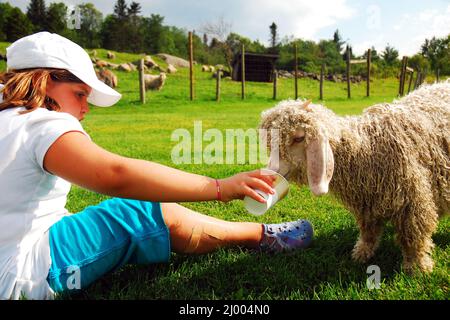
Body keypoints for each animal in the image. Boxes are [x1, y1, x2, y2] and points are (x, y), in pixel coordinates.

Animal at [258, 81, 448, 274]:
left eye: (299, 138)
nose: (270, 172)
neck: (367, 148)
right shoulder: (367, 204)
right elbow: (369, 231)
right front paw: (362, 254)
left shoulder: (411, 202)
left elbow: (413, 235)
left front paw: (416, 267)